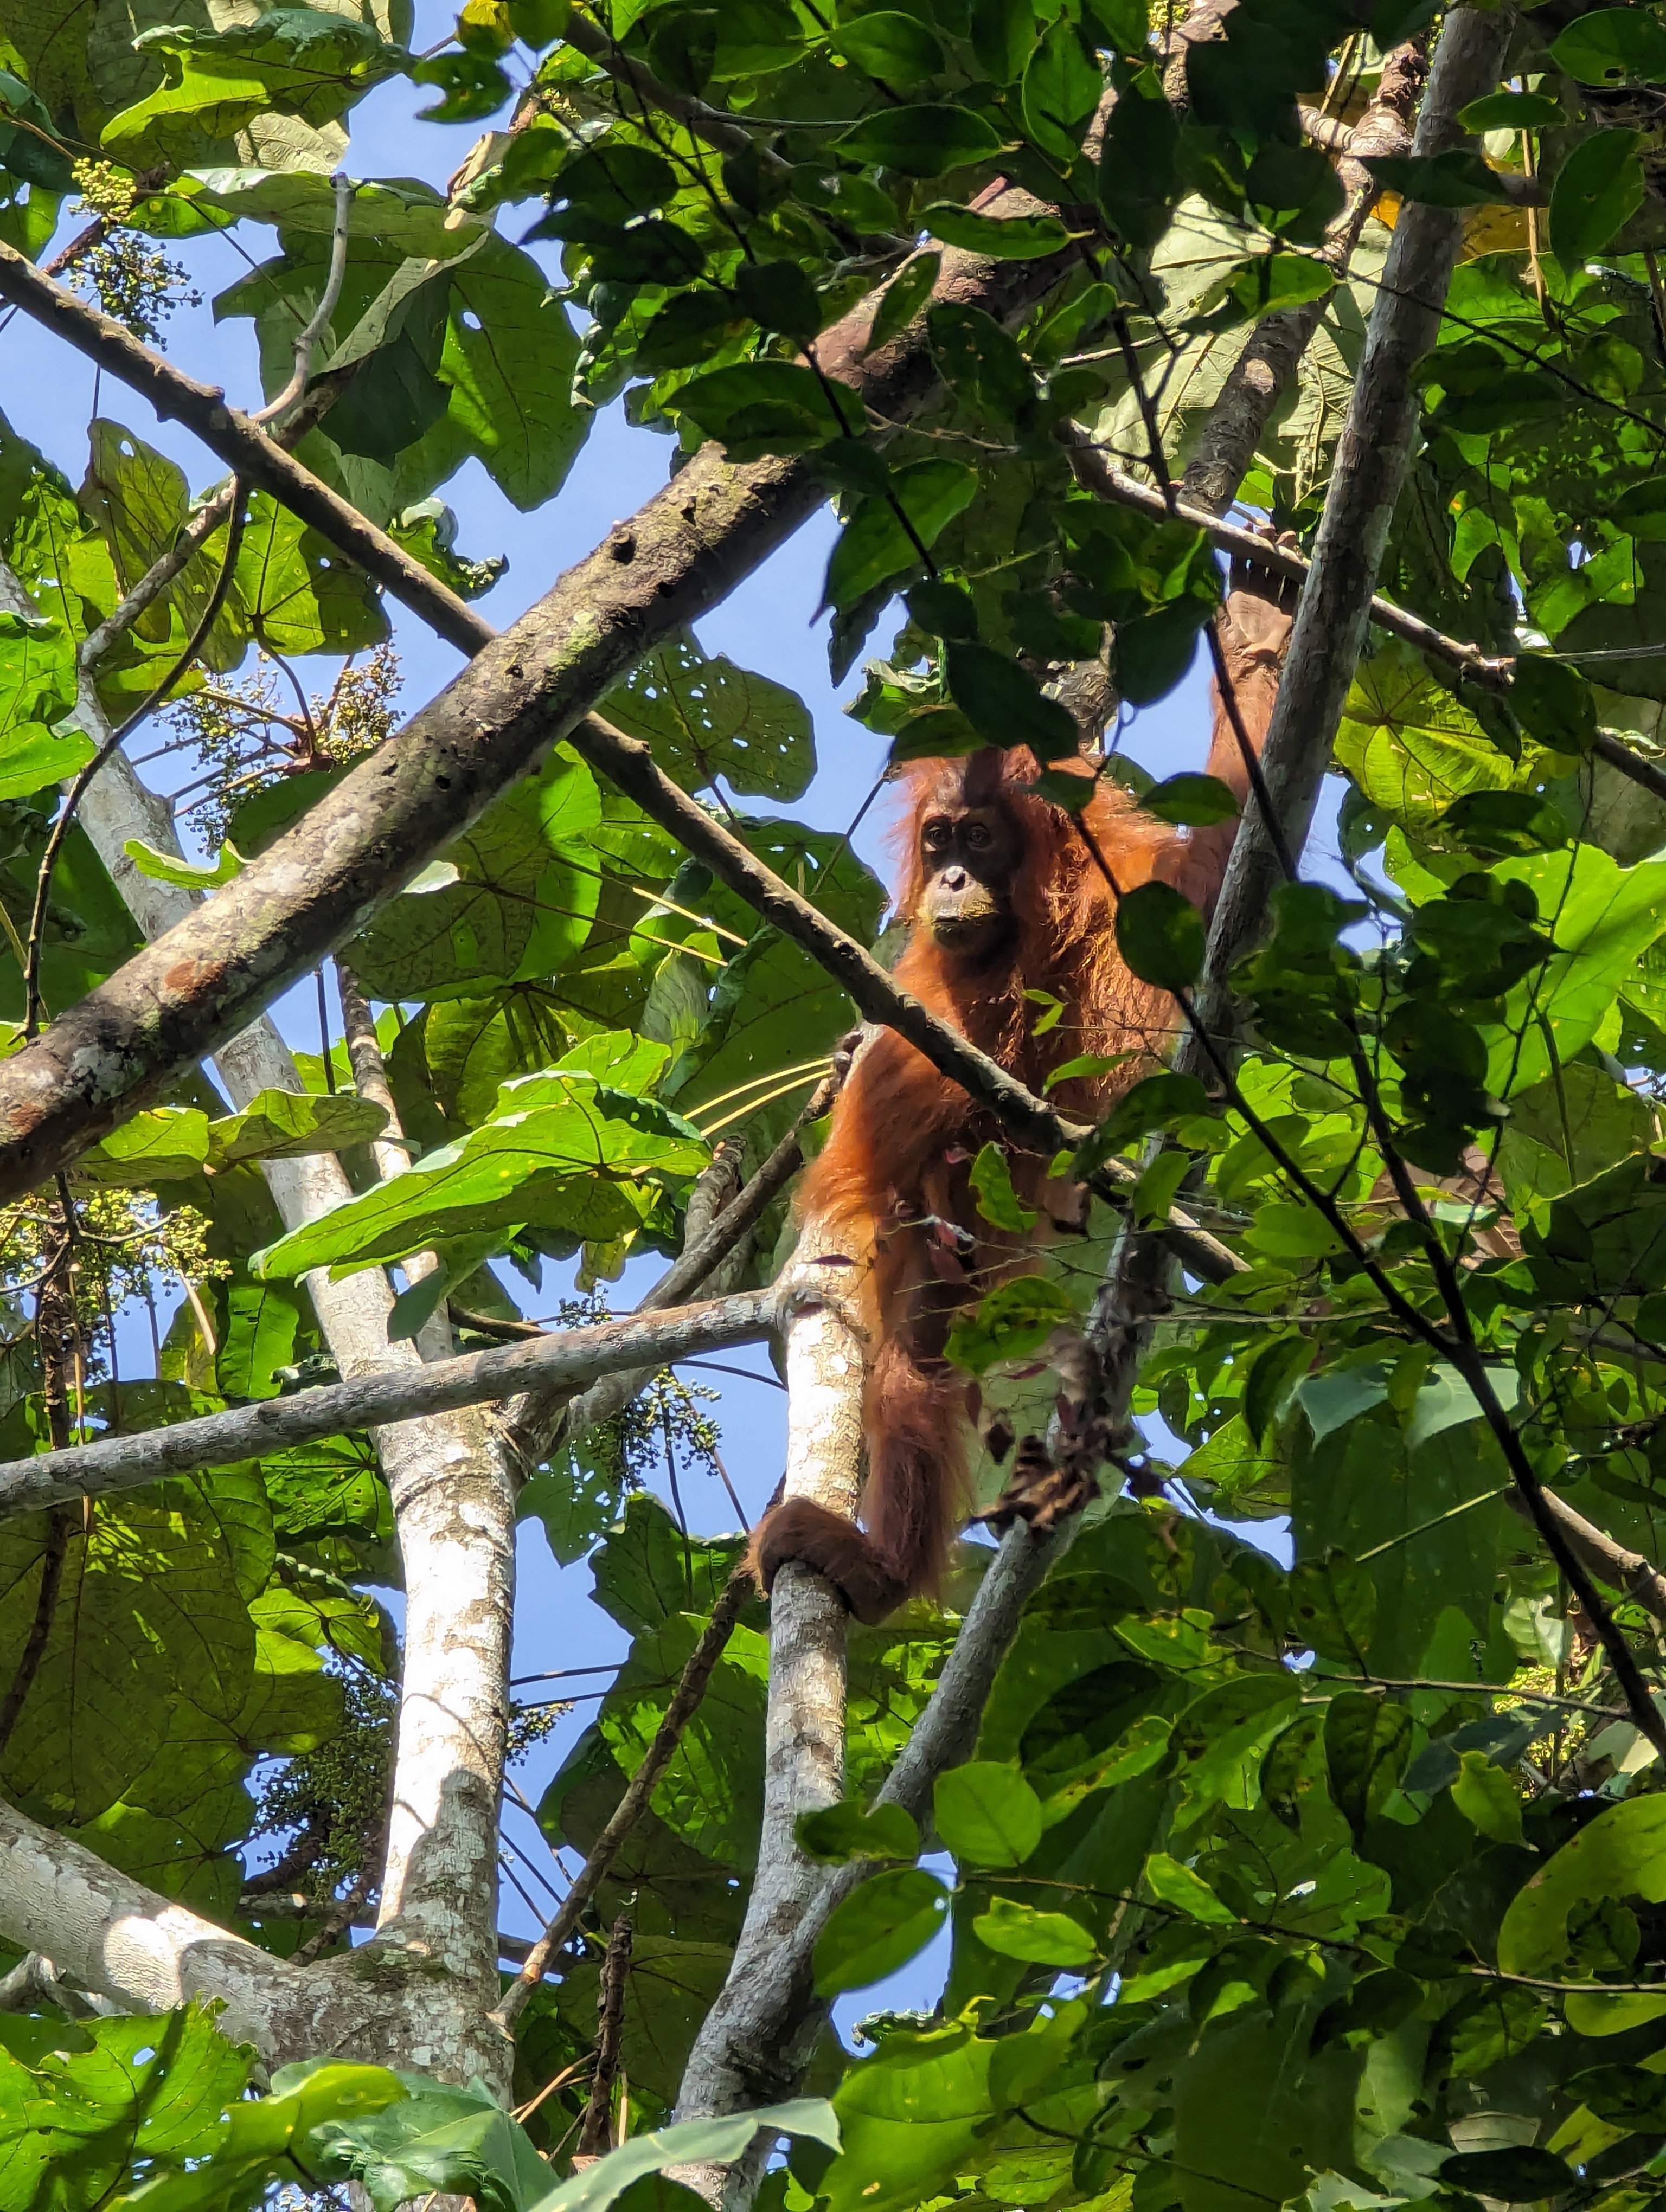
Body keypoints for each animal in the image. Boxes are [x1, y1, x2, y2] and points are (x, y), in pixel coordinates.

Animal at [746, 563, 1295, 1625]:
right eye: (939, 840)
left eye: (980, 839)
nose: (953, 877)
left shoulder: (1124, 894)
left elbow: (1215, 887)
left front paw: (1255, 641)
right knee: (913, 1350)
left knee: (920, 1358)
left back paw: (874, 1573)